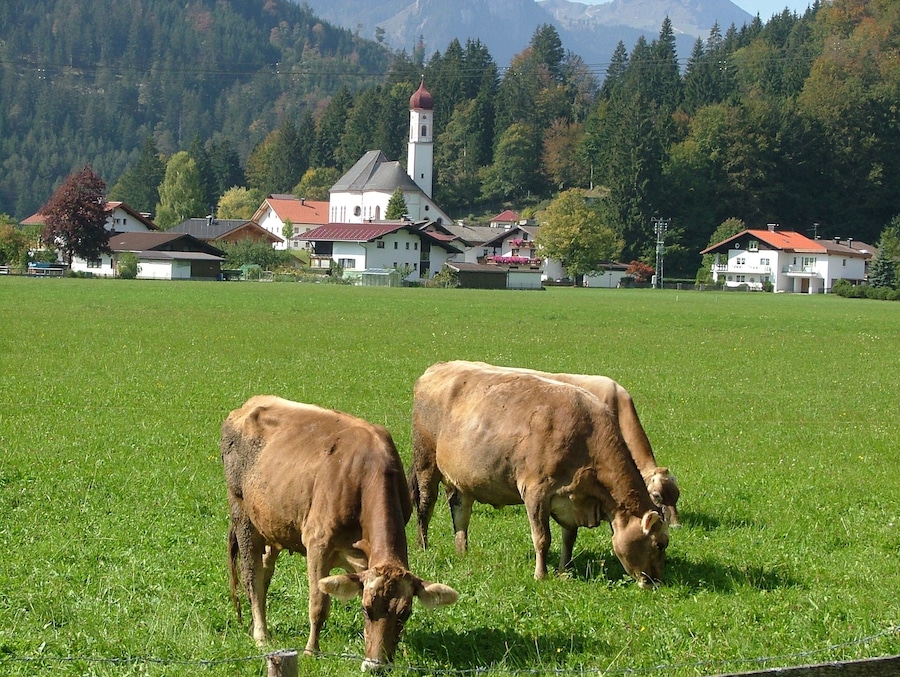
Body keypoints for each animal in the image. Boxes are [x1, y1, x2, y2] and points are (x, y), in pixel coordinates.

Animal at [222, 395, 458, 672]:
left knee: (264, 572)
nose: (376, 667)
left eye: (405, 614)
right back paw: (261, 635)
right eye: (366, 609)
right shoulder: (317, 544)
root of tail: (248, 405)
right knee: (252, 576)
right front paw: (311, 651)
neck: (364, 474)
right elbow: (319, 604)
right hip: (242, 515)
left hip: (271, 523)